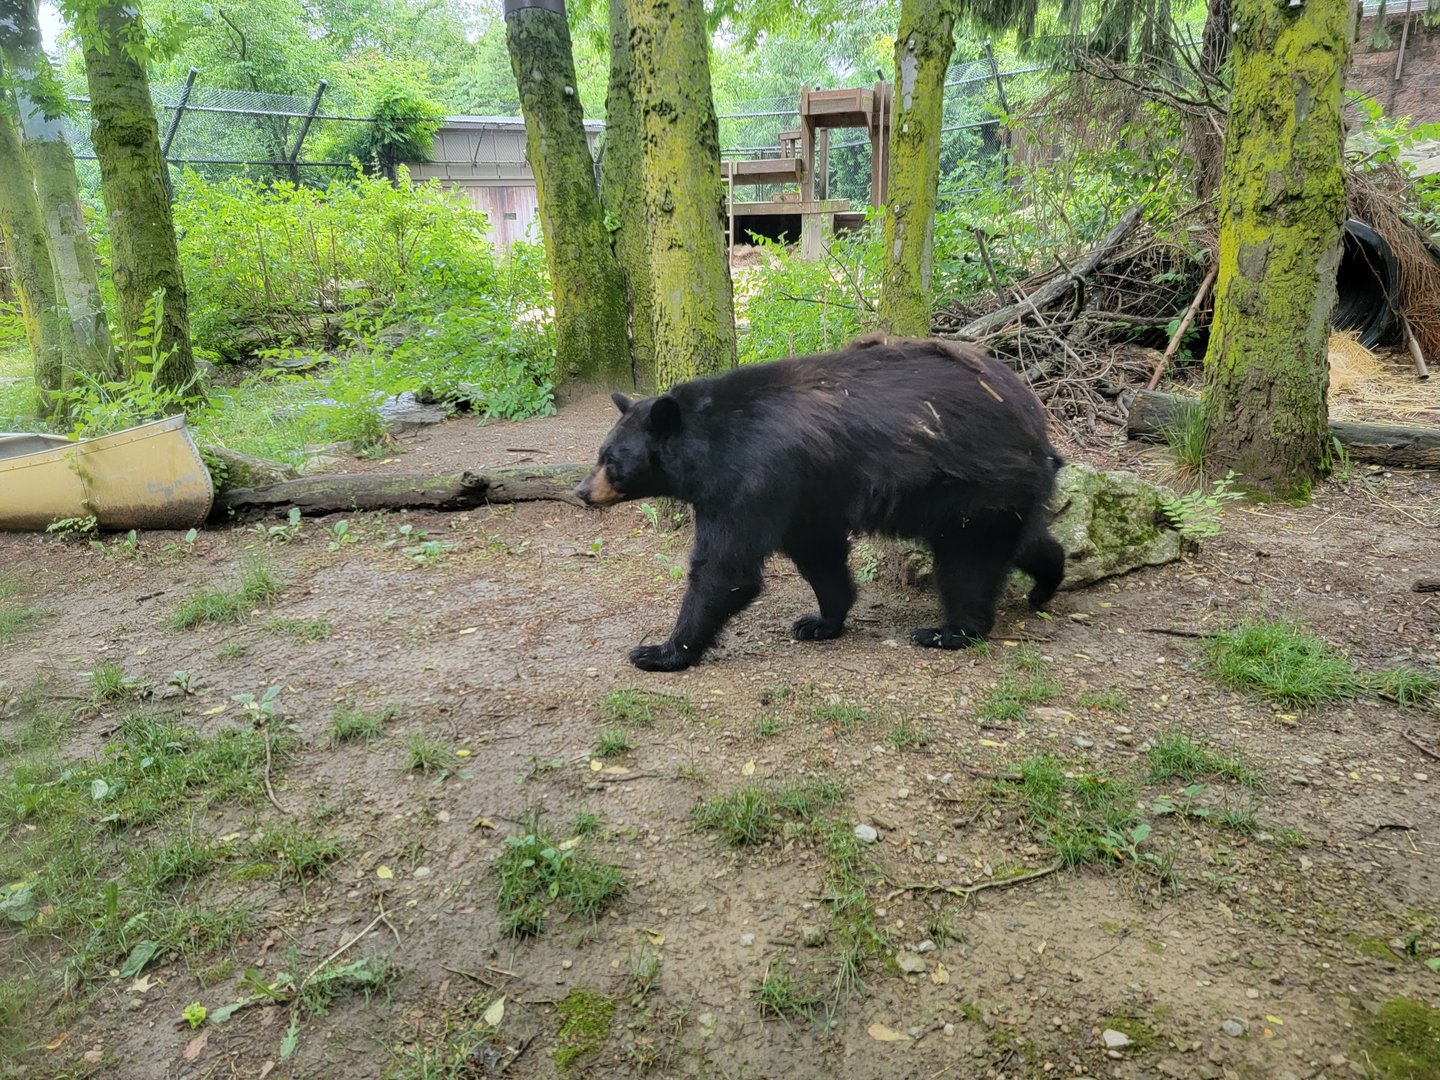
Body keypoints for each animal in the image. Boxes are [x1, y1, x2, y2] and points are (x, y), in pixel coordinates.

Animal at [576, 334, 1066, 672]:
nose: (581, 491)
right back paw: (1046, 583)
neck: (707, 445)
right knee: (1026, 540)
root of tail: (1037, 420)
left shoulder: (752, 478)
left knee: (968, 564)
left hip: (975, 488)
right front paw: (819, 622)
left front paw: (660, 651)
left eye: (611, 460)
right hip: (997, 496)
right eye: (600, 453)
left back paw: (950, 631)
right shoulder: (805, 494)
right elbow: (819, 554)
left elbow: (726, 568)